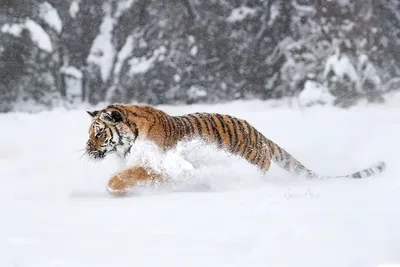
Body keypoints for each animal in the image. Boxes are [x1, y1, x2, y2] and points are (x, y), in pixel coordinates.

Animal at [85, 103, 388, 198]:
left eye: (98, 133)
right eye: (89, 133)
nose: (87, 151)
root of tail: (263, 137)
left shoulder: (161, 165)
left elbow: (128, 175)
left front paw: (113, 188)